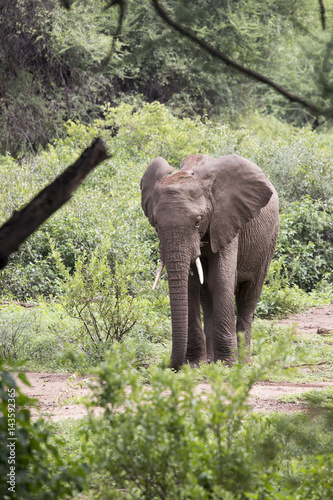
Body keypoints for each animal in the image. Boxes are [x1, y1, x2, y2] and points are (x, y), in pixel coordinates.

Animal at [139, 154, 278, 370]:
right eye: (155, 224)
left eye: (197, 221)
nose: (168, 365)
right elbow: (191, 285)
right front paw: (194, 364)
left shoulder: (227, 220)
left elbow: (221, 280)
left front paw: (228, 364)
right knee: (207, 297)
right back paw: (211, 360)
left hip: (268, 242)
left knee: (249, 296)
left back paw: (244, 362)